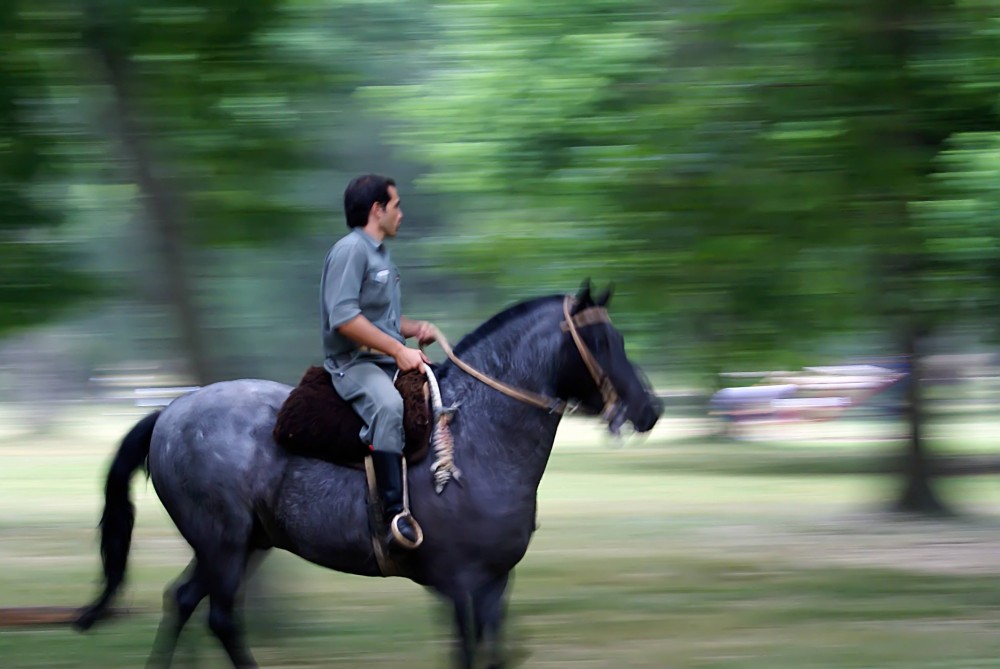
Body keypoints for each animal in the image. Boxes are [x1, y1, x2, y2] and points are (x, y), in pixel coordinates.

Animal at [76, 284, 656, 664]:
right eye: (602, 342)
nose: (650, 407)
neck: (478, 439)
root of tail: (170, 413)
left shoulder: (494, 584)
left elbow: (491, 653)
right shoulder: (461, 584)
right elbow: (467, 653)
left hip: (241, 545)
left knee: (182, 601)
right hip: (224, 543)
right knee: (220, 619)